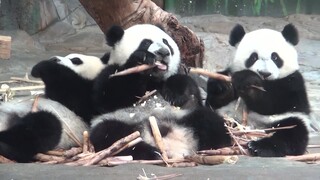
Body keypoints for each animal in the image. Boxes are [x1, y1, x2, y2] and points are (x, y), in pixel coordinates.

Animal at [90, 23, 232, 159]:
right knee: (111, 135)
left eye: (166, 42)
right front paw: (141, 59)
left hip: (185, 116)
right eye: (146, 42)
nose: (164, 52)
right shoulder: (110, 73)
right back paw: (151, 152)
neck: (153, 79)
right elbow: (109, 96)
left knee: (210, 121)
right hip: (121, 123)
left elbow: (188, 87)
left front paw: (175, 95)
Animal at [206, 23, 312, 156]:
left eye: (275, 57)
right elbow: (213, 100)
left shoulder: (293, 83)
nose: (264, 73)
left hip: (284, 122)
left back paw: (260, 147)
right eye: (253, 57)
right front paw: (223, 85)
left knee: (291, 132)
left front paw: (249, 81)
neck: (266, 82)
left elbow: (271, 103)